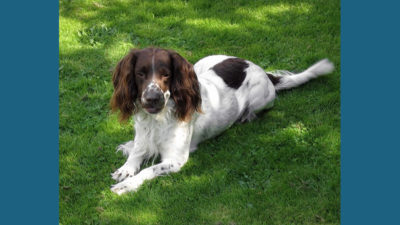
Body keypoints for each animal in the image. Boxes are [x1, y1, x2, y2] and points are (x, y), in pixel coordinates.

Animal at [109, 47, 334, 193]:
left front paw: (126, 185)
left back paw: (246, 116)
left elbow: (149, 169)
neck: (158, 119)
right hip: (201, 64)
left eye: (166, 75)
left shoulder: (176, 159)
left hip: (261, 99)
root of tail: (261, 70)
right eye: (140, 74)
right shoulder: (143, 136)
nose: (152, 98)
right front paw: (125, 167)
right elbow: (136, 154)